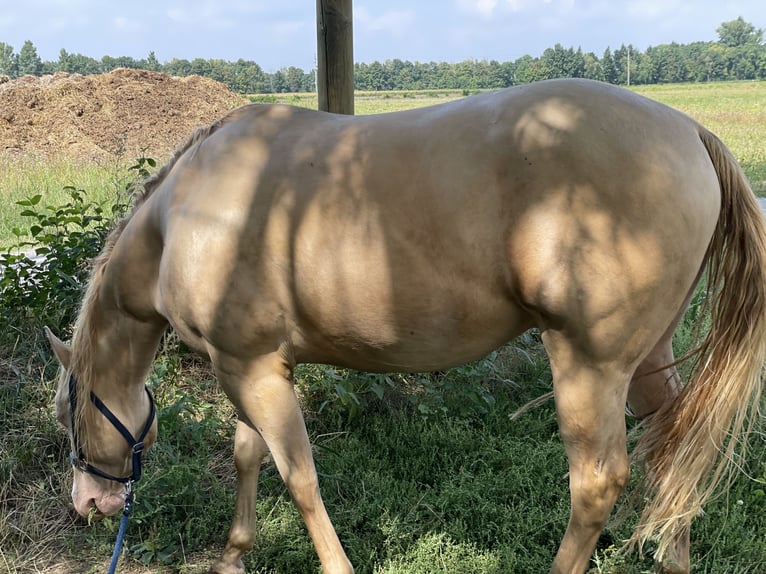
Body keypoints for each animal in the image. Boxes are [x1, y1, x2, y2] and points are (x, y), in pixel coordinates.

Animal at [48, 80, 766, 574]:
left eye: (67, 413)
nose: (88, 505)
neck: (188, 217)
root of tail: (689, 132)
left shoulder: (251, 369)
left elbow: (299, 475)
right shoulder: (246, 365)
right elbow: (250, 453)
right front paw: (234, 555)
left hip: (591, 366)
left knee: (596, 483)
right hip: (648, 357)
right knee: (672, 452)